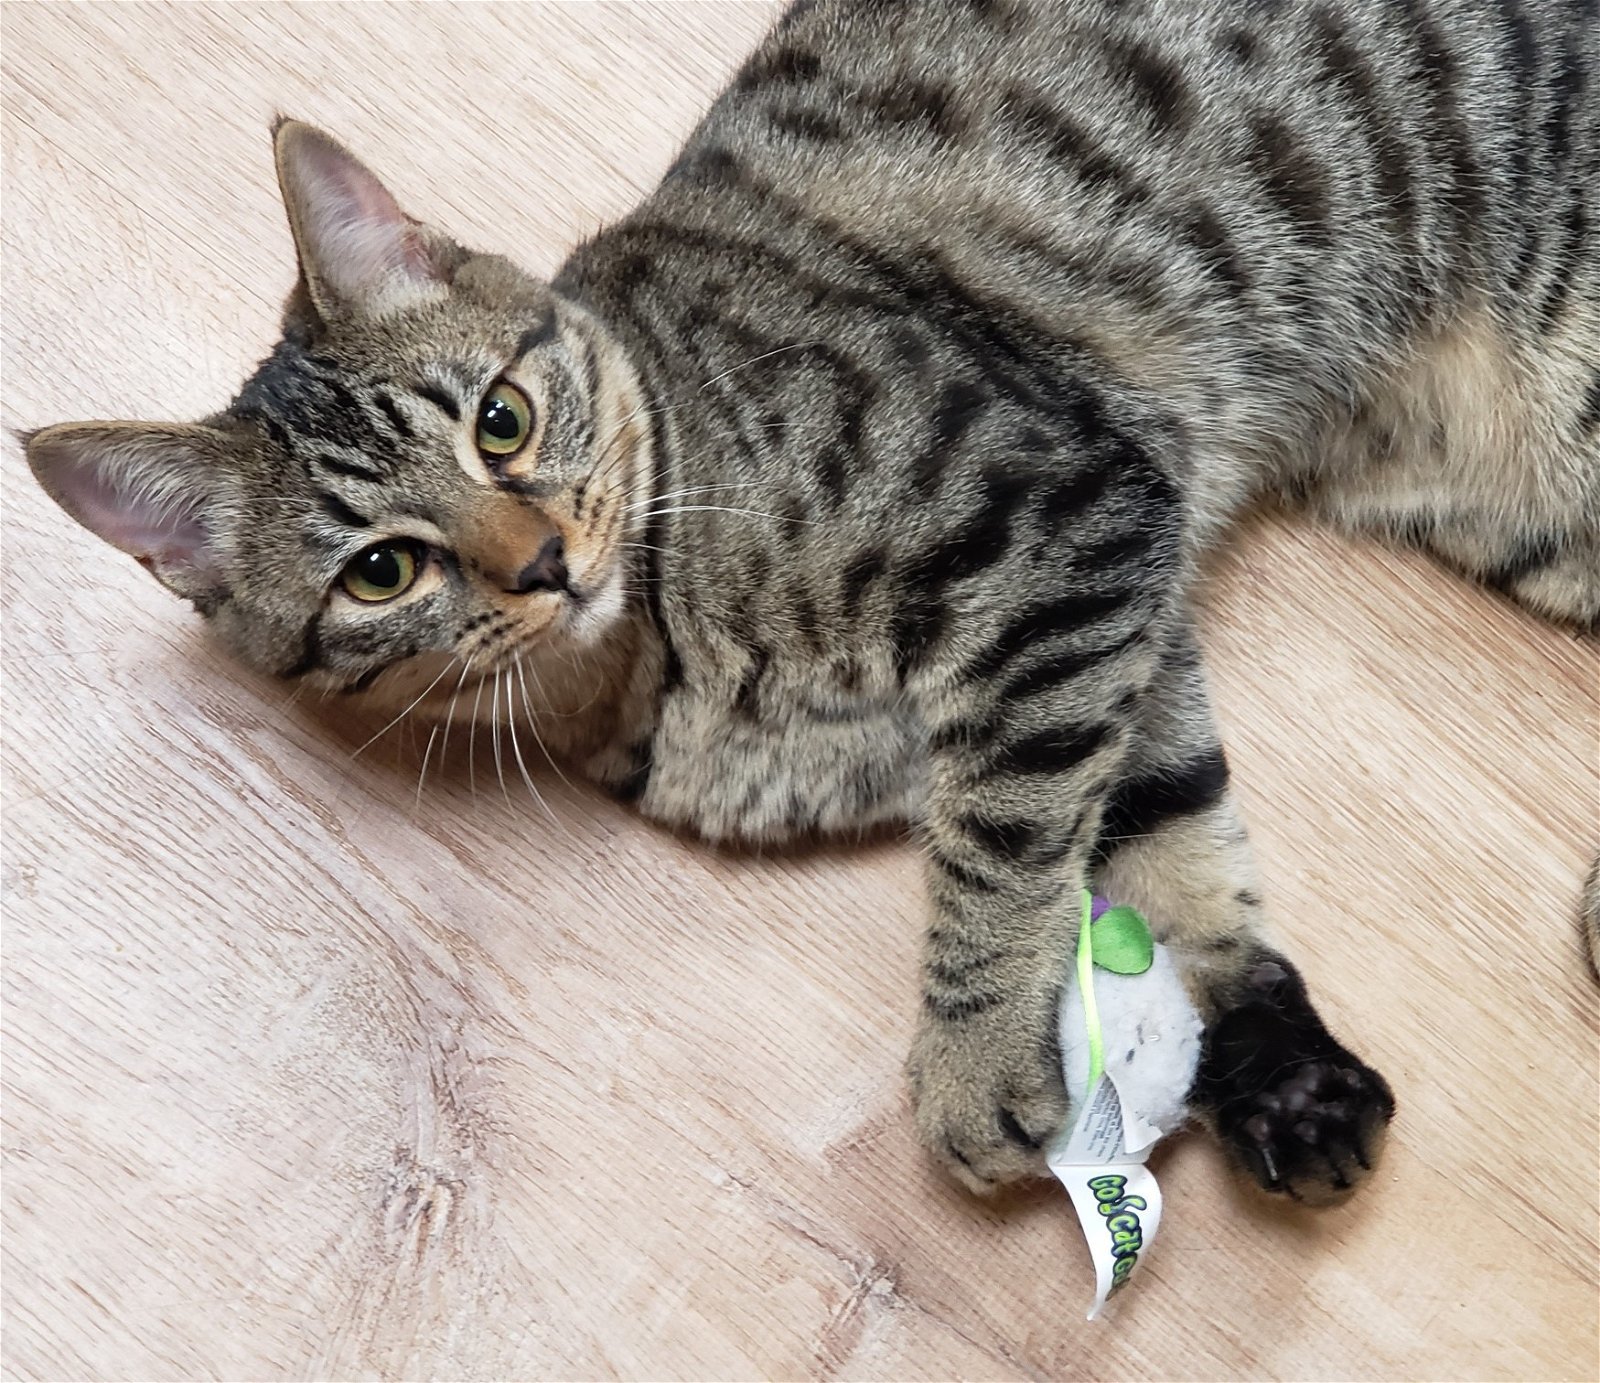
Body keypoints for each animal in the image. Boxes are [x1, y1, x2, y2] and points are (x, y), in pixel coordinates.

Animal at [18, 0, 1593, 1197]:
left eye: (502, 424)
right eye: (381, 571)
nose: (542, 562)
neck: (666, 662)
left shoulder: (1058, 520)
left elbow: (1004, 839)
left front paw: (969, 1060)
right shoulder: (1116, 616)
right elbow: (1160, 836)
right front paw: (1277, 1067)